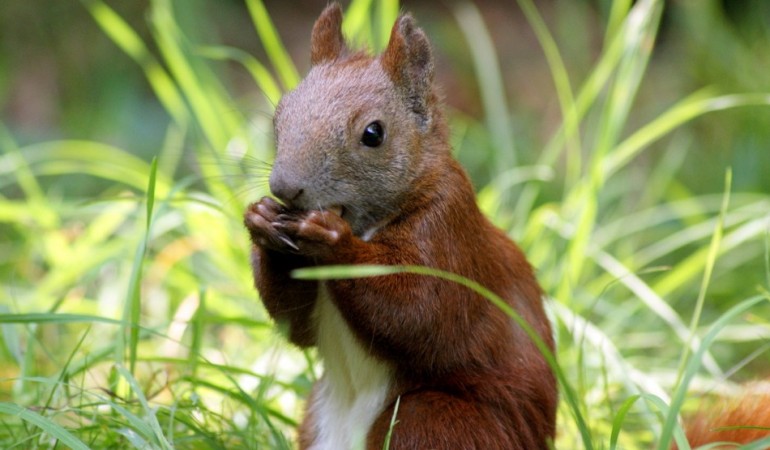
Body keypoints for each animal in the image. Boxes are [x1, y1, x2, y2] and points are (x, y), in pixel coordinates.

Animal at [244, 3, 556, 449]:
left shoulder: (449, 231)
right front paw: (261, 222)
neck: (367, 226)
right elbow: (298, 326)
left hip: (434, 422)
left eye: (373, 133)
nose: (284, 187)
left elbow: (419, 312)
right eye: (278, 118)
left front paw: (334, 243)